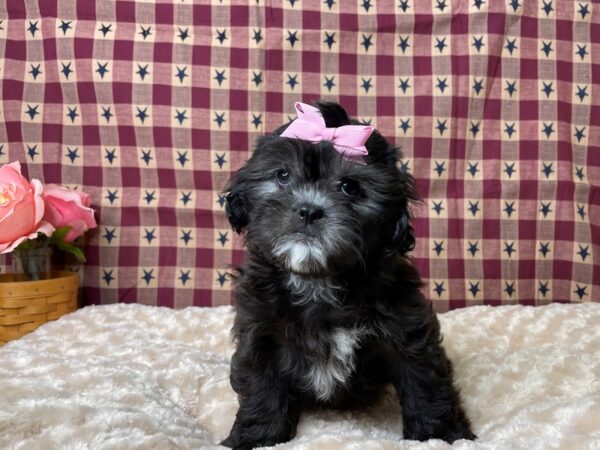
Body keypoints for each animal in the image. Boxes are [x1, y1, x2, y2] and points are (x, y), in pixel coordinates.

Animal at [220, 102, 474, 450]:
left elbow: (424, 380)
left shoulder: (406, 325)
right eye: (282, 175)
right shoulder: (259, 330)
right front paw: (256, 438)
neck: (318, 280)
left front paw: (440, 435)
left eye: (350, 187)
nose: (309, 210)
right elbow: (262, 387)